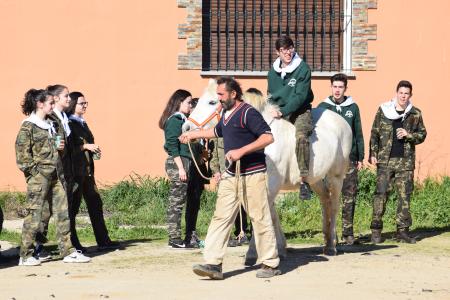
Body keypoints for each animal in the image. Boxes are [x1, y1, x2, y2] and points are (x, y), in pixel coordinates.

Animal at [185, 80, 354, 258]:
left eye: (212, 102)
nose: (186, 128)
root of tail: (342, 122)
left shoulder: (270, 183)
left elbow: (262, 213)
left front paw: (255, 250)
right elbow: (271, 214)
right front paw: (279, 246)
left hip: (336, 177)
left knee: (334, 205)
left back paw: (331, 246)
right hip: (315, 180)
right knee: (325, 201)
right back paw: (328, 239)